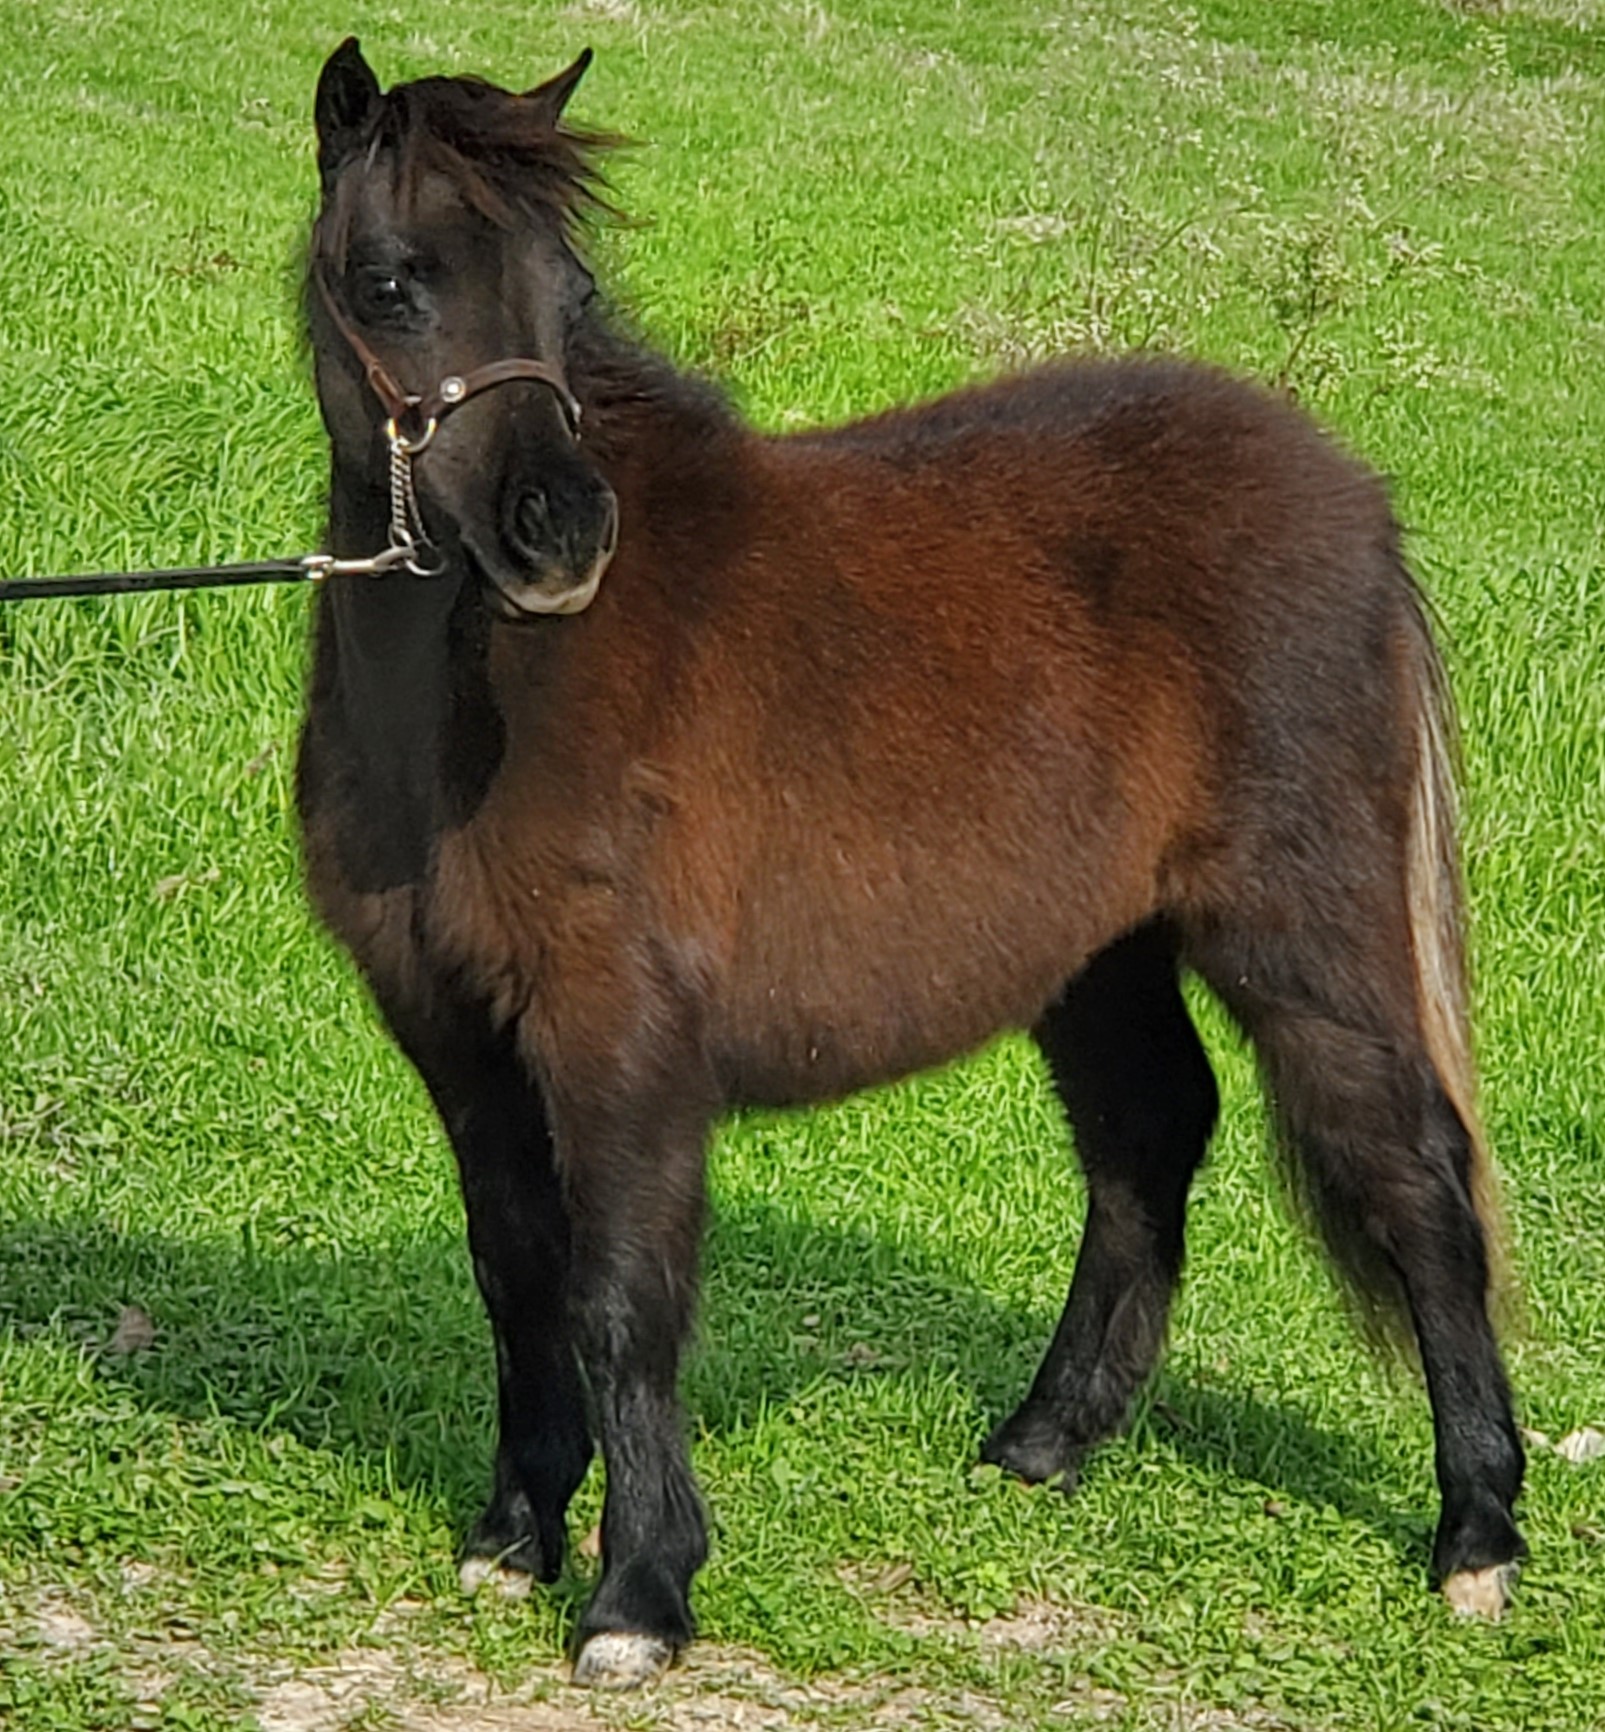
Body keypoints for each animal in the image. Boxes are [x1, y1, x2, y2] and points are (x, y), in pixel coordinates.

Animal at [297, 37, 1530, 1690]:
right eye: (388, 283)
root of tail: (1355, 499)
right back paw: (1042, 1443)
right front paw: (512, 1535)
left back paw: (1477, 1535)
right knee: (1148, 1139)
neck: (483, 705)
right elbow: (518, 1272)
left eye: (570, 287)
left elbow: (623, 1296)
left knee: (1412, 1174)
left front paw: (639, 1593)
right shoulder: (455, 1029)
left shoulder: (621, 1032)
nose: (562, 538)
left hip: (1304, 934)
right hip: (1098, 954)